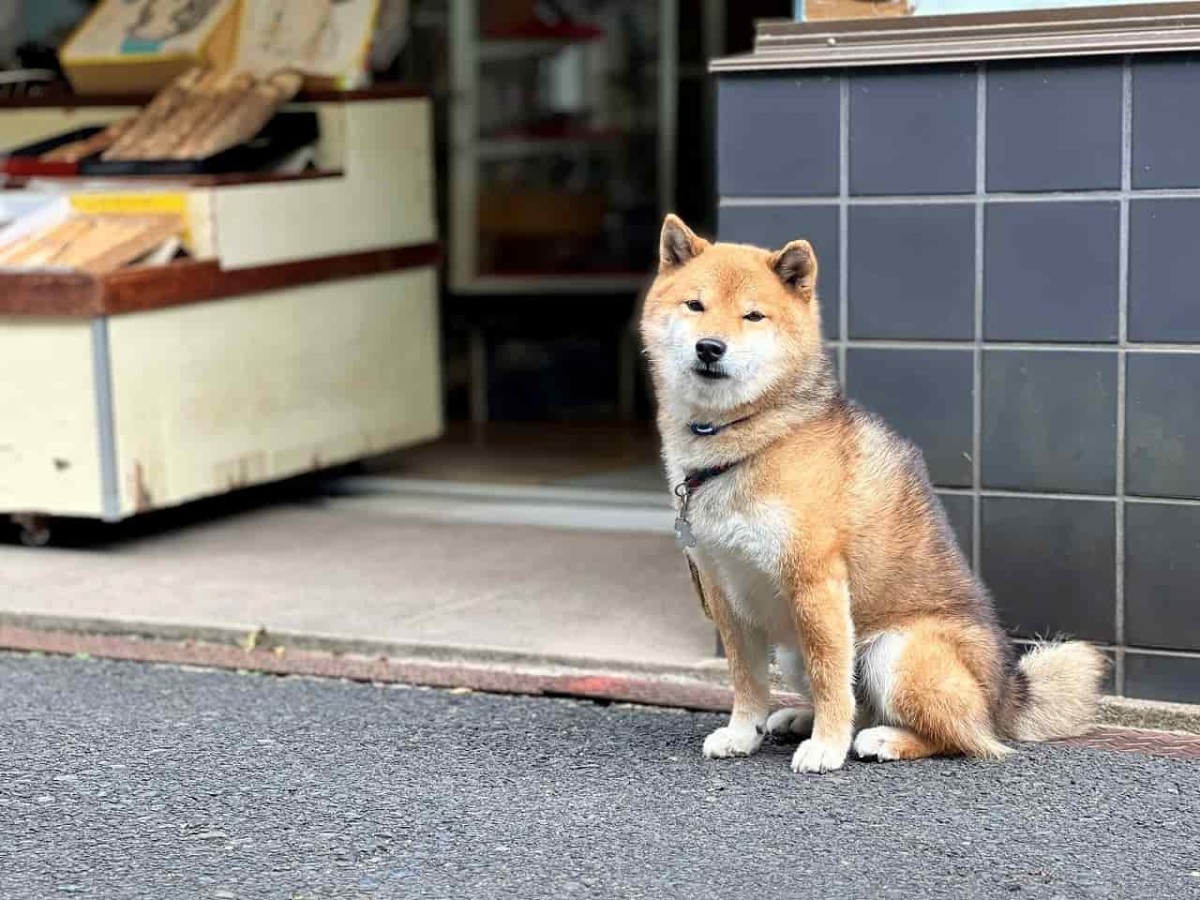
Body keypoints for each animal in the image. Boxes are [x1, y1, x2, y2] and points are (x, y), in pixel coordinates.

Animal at [638, 214, 1104, 772]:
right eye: (695, 305)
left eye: (753, 315)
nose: (710, 347)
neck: (749, 439)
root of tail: (1003, 698)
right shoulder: (722, 586)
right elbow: (746, 679)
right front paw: (742, 733)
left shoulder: (814, 580)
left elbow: (831, 679)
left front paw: (827, 747)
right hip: (795, 651)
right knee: (866, 706)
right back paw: (800, 720)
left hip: (892, 650)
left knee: (962, 737)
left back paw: (883, 740)